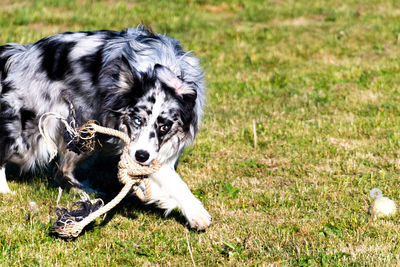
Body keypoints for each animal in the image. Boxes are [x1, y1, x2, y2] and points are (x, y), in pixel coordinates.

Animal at [0, 27, 212, 232]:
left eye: (164, 127)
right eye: (137, 120)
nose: (141, 156)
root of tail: (22, 53)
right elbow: (172, 180)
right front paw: (196, 213)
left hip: (83, 136)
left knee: (63, 169)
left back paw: (85, 193)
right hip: (30, 138)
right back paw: (5, 190)